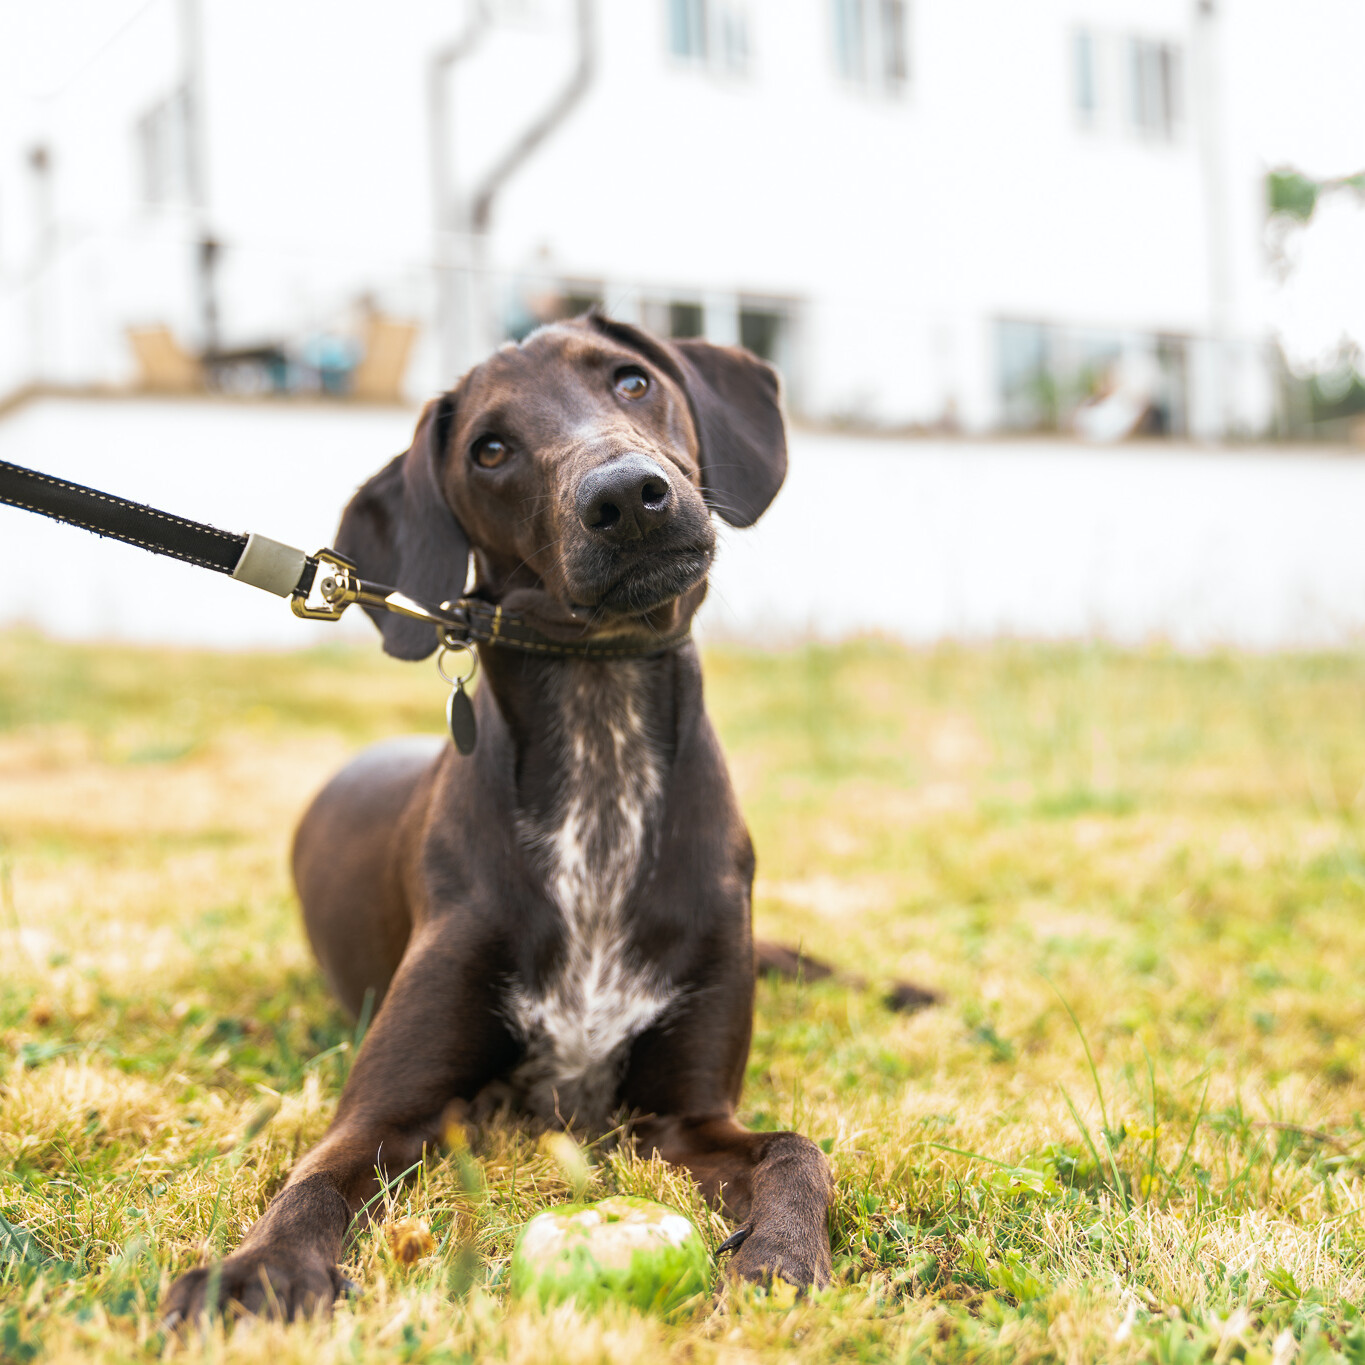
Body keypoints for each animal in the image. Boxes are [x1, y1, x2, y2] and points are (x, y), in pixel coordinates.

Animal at [161, 312, 829, 1321]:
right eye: (490, 449)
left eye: (631, 381)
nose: (625, 498)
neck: (601, 731)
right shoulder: (390, 1113)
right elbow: (312, 1177)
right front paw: (262, 1270)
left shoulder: (687, 1117)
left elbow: (798, 1148)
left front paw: (782, 1254)